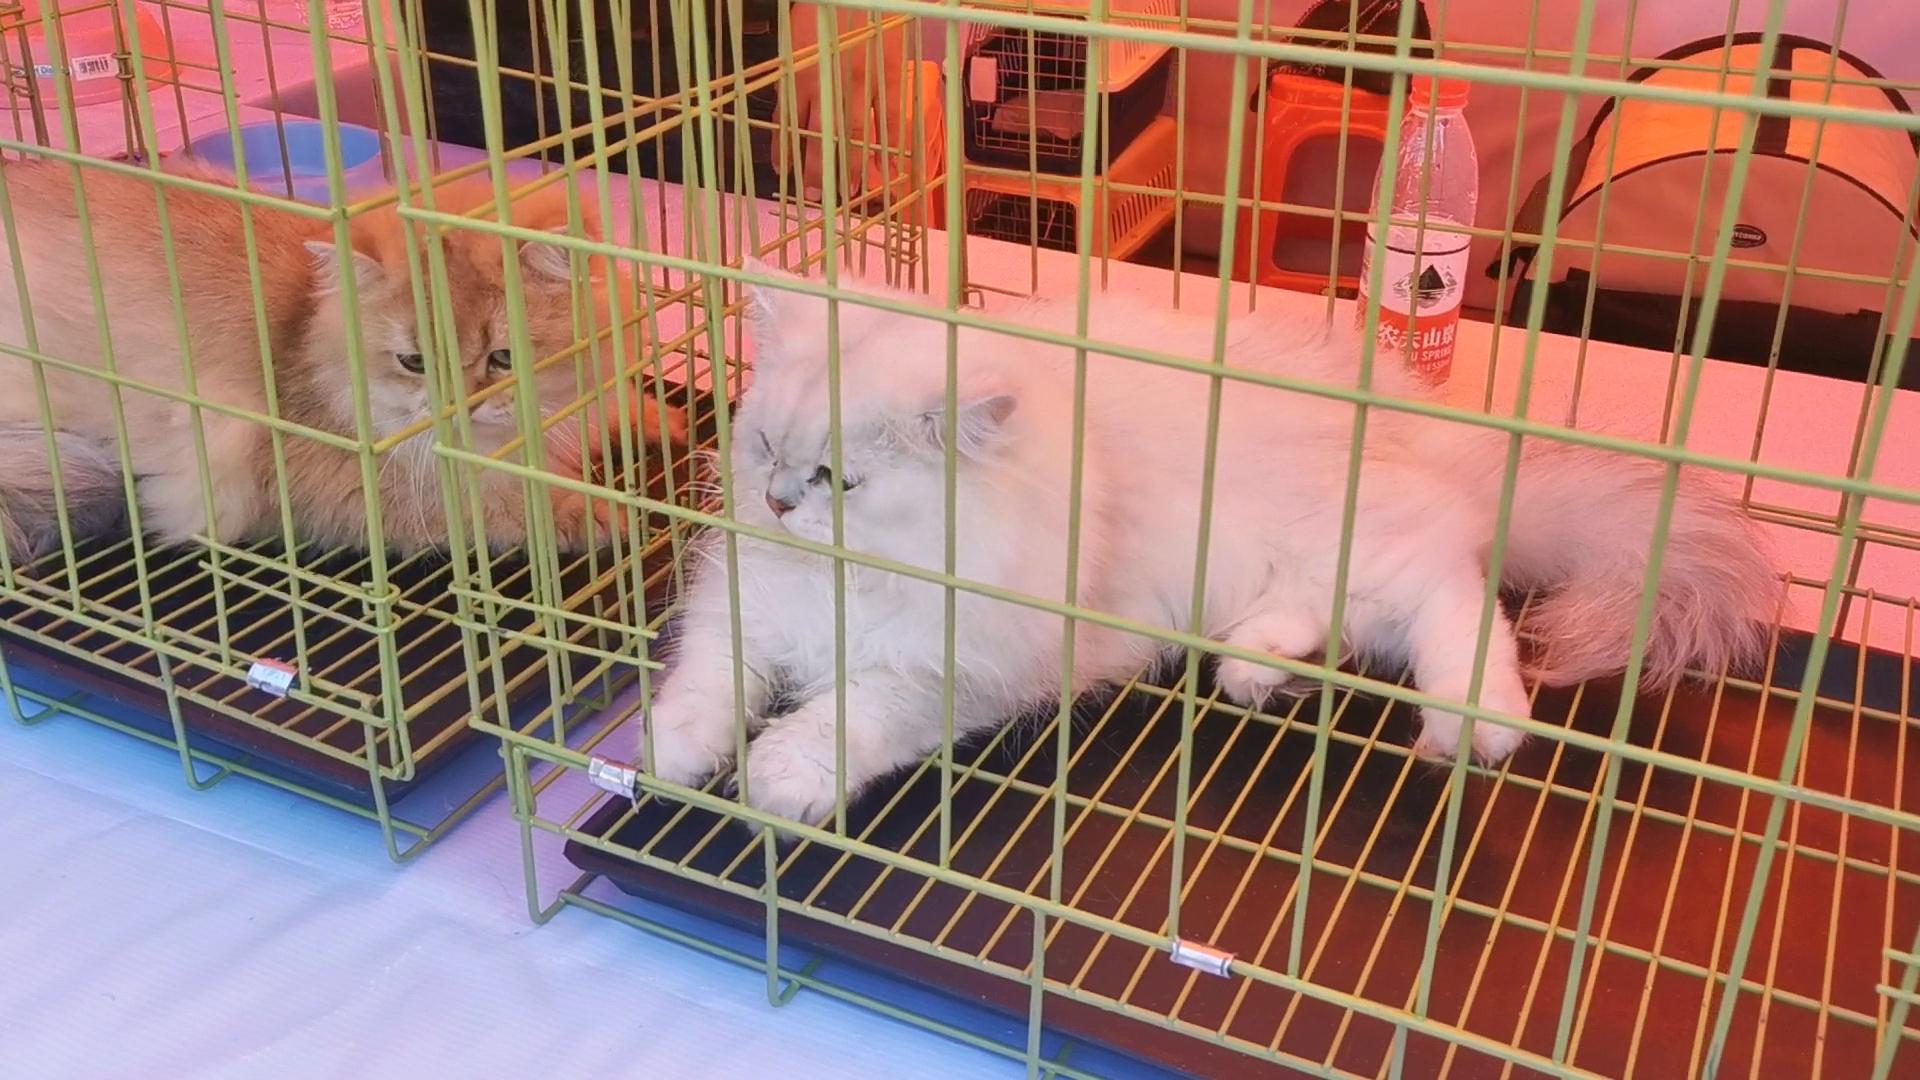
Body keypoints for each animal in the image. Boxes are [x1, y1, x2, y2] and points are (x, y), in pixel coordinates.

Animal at [0, 157, 686, 562]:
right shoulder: (383, 496)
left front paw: (661, 421)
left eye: (502, 357)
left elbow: (619, 409)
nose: (456, 409)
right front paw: (614, 513)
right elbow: (523, 505)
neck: (306, 336)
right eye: (413, 363)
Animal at [634, 261, 1777, 825]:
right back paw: (1251, 671)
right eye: (766, 445)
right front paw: (668, 752)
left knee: (1458, 593)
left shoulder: (950, 672)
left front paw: (778, 780)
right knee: (1329, 619)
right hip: (1283, 570)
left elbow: (841, 718)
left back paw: (1471, 727)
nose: (776, 502)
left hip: (1373, 547)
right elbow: (704, 687)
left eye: (841, 482)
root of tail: (1435, 437)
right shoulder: (741, 615)